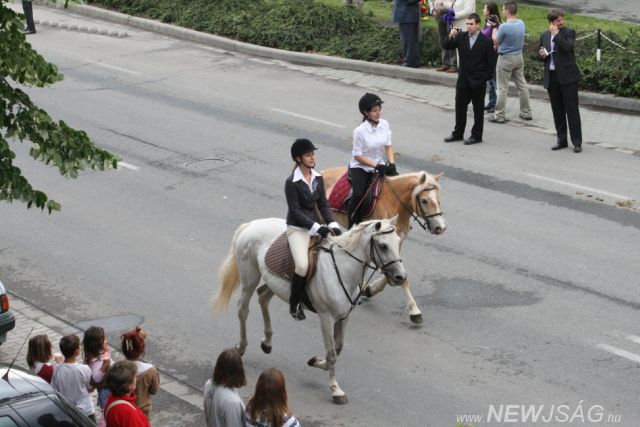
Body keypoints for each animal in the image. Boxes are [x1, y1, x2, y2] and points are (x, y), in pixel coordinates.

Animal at [214, 216, 407, 404]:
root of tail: (252, 224)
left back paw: (267, 342)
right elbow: (332, 354)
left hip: (276, 283)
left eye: (398, 242)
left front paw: (316, 361)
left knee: (263, 298)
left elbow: (338, 348)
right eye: (383, 246)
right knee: (243, 309)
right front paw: (335, 390)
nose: (401, 277)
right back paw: (241, 347)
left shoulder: (344, 317)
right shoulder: (326, 318)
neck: (342, 269)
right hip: (250, 277)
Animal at [322, 166, 446, 324]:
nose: (440, 227)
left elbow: (395, 269)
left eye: (439, 200)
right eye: (424, 200)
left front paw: (370, 289)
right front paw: (414, 310)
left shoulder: (395, 241)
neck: (395, 203)